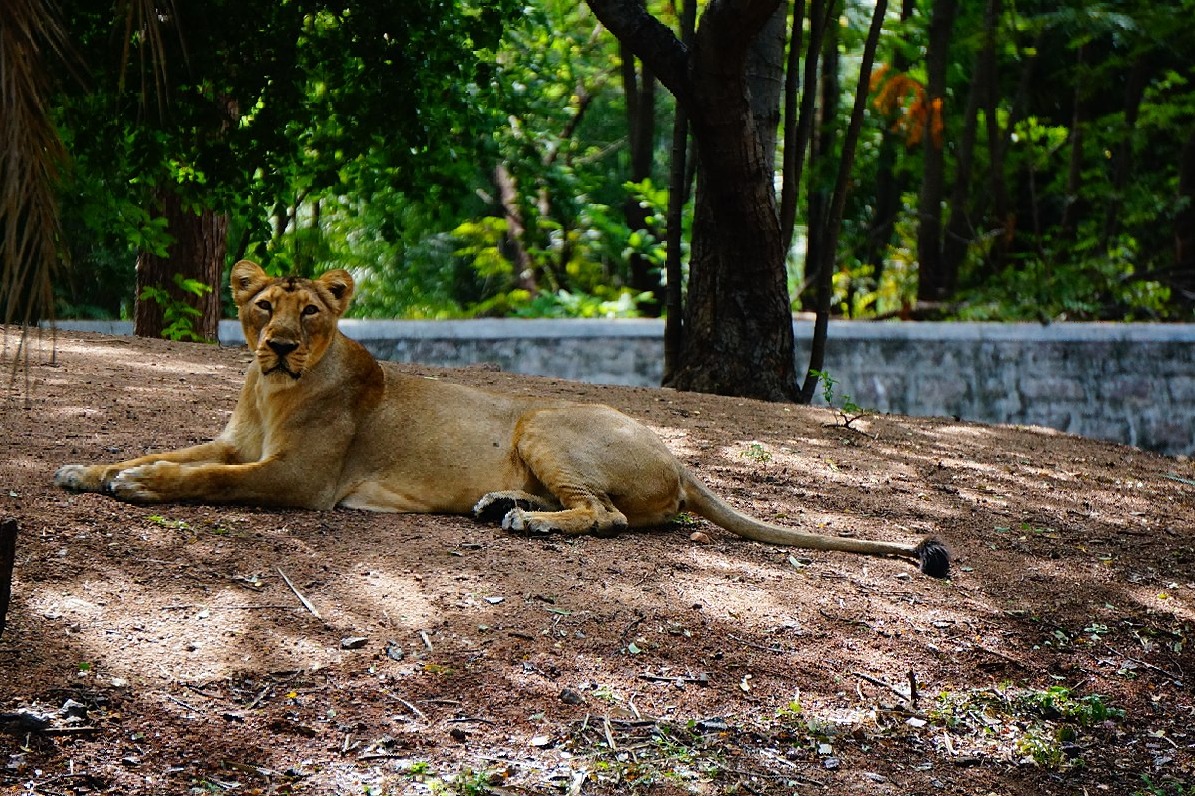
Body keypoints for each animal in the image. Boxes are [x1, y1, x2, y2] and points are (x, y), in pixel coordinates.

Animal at [55, 260, 949, 577]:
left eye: (309, 312)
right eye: (261, 306)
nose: (275, 345)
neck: (271, 392)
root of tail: (679, 455)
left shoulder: (298, 477)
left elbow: (203, 475)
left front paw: (142, 483)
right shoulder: (236, 439)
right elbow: (170, 447)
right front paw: (91, 468)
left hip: (541, 420)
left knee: (608, 515)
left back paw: (528, 520)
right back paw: (500, 504)